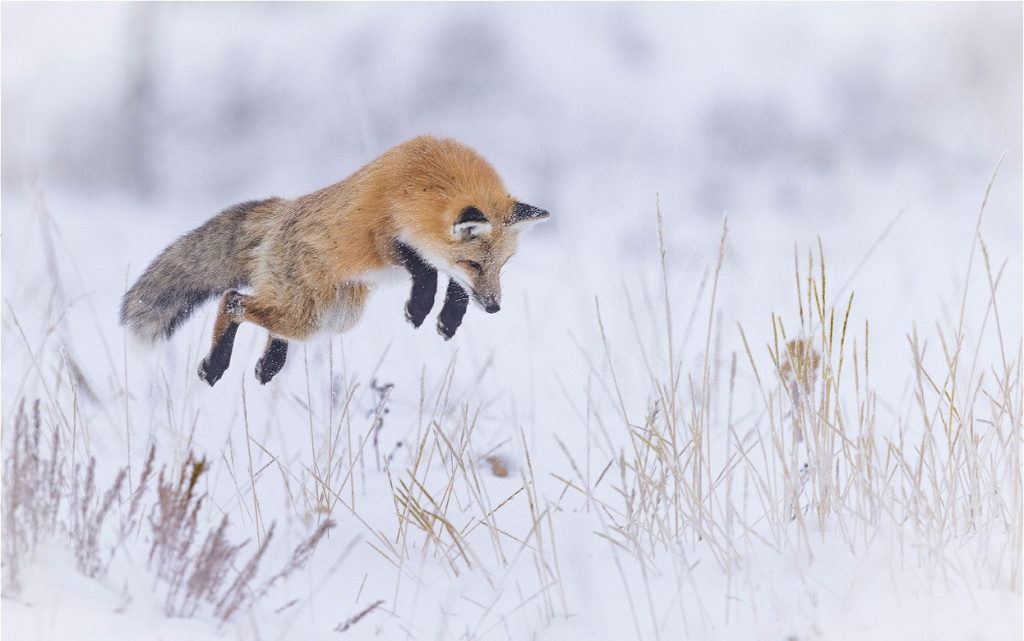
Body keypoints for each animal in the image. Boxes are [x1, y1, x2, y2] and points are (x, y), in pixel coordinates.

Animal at [120, 135, 549, 386]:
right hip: (312, 313)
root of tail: (282, 210)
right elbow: (424, 268)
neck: (423, 182)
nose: (493, 308)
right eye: (474, 264)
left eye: (501, 267)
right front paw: (419, 307)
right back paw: (215, 365)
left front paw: (448, 319)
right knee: (231, 300)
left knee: (262, 315)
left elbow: (454, 288)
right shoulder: (381, 238)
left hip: (331, 316)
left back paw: (268, 364)